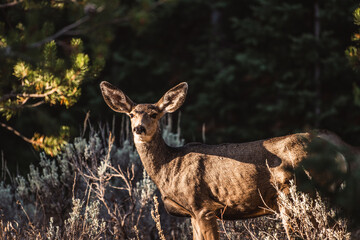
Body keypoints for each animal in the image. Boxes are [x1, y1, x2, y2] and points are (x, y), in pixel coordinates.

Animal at [100, 81, 356, 239]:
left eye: (154, 114)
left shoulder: (203, 205)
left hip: (293, 196)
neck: (169, 167)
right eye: (131, 114)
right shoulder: (192, 214)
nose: (139, 128)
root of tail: (340, 154)